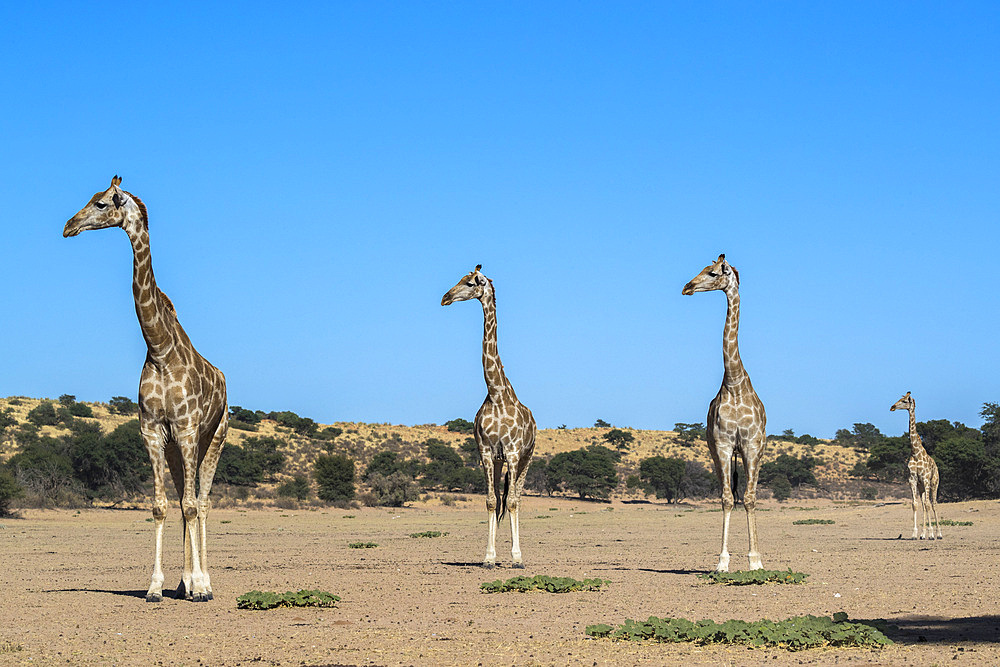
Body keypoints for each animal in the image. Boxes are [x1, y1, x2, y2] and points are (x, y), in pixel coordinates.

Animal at [65, 175, 229, 604]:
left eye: (102, 203)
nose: (69, 226)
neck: (159, 349)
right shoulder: (153, 431)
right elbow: (161, 505)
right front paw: (157, 586)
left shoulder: (187, 428)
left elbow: (190, 505)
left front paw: (199, 586)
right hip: (177, 449)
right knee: (187, 499)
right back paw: (184, 583)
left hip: (213, 438)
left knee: (202, 502)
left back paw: (204, 583)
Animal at [442, 266, 536, 568]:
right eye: (460, 279)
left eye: (472, 282)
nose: (445, 298)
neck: (495, 393)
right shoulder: (485, 450)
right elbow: (491, 502)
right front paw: (489, 557)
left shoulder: (514, 452)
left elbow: (512, 502)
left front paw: (516, 558)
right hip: (497, 461)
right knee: (500, 499)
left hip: (527, 458)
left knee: (517, 497)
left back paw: (517, 555)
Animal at [684, 253, 768, 572]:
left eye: (712, 272)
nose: (687, 287)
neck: (733, 382)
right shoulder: (721, 445)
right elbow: (726, 499)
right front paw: (722, 561)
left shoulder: (751, 445)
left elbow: (750, 498)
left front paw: (756, 561)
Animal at [892, 392, 944, 544]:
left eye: (904, 401)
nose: (892, 407)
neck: (915, 452)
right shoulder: (913, 479)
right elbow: (915, 504)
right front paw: (915, 534)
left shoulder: (925, 479)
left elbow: (928, 505)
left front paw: (931, 534)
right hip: (922, 487)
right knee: (924, 504)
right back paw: (923, 534)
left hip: (934, 483)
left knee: (933, 503)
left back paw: (938, 534)